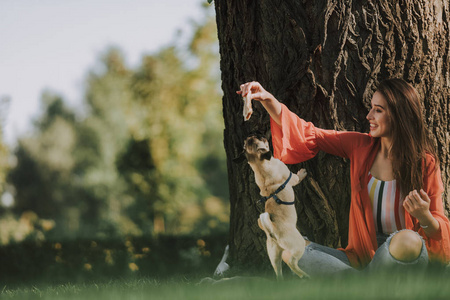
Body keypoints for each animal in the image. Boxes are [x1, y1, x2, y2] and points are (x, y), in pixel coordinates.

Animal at [236, 135, 310, 280]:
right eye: (258, 140)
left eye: (249, 141)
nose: (253, 135)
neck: (260, 167)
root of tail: (273, 231)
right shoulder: (291, 177)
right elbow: (297, 177)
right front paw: (302, 173)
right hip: (297, 246)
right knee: (292, 262)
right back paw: (305, 275)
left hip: (274, 254)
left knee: (278, 270)